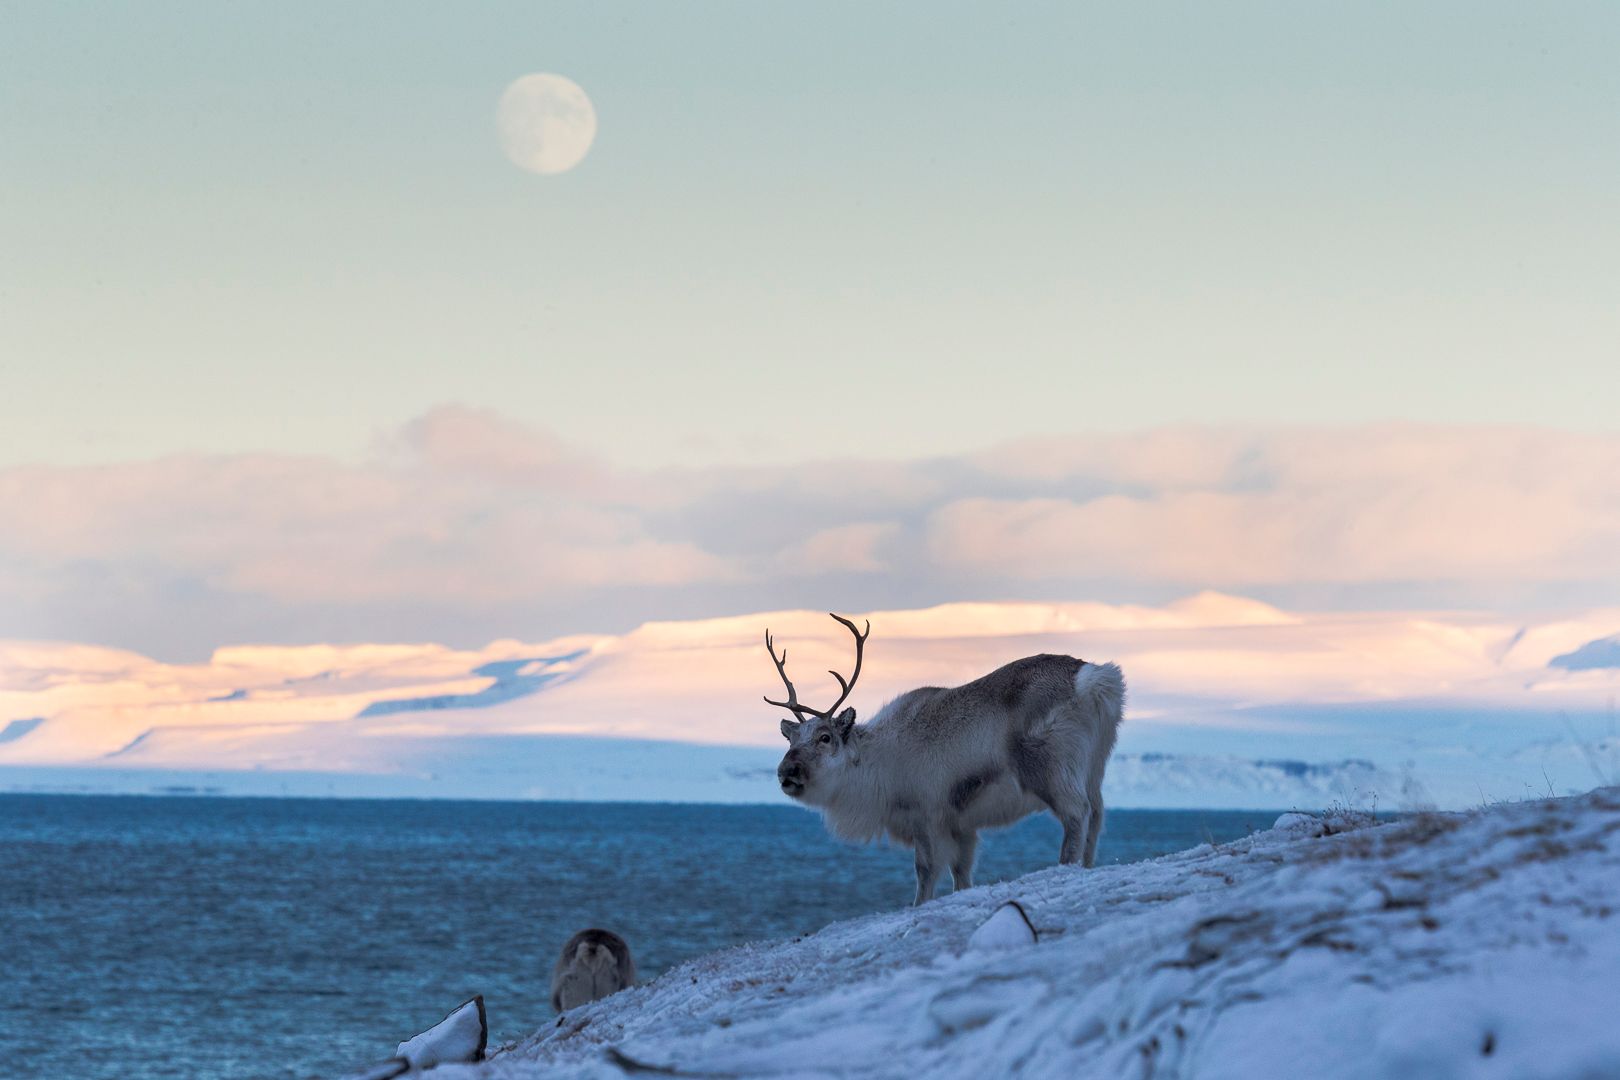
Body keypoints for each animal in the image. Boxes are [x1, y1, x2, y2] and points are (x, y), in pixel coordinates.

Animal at [765, 614, 1124, 905]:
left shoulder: (927, 815)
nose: (786, 772)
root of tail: (1093, 680)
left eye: (825, 737)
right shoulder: (961, 825)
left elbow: (925, 873)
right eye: (792, 739)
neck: (877, 764)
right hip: (1093, 767)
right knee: (1097, 815)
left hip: (1051, 768)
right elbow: (961, 875)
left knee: (1077, 814)